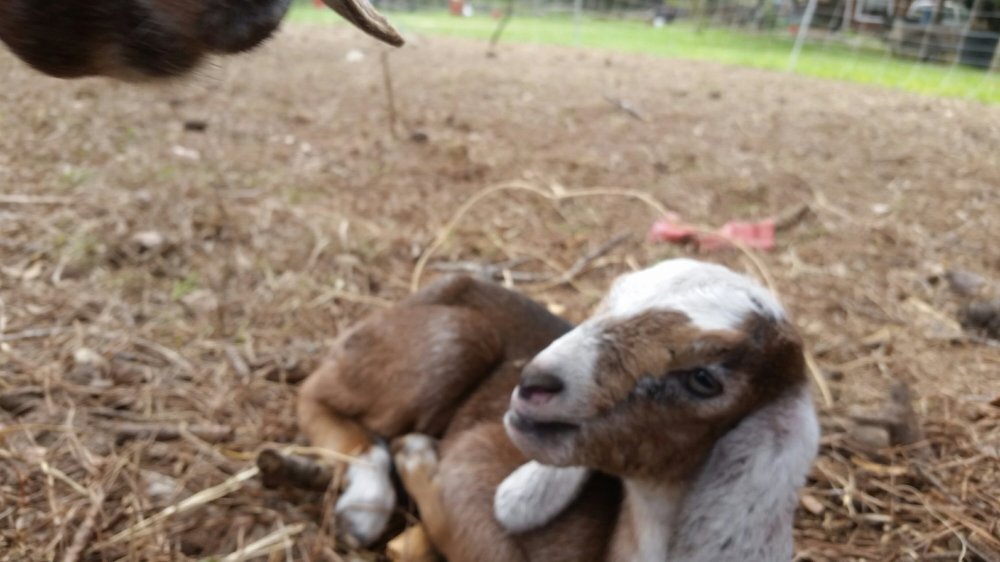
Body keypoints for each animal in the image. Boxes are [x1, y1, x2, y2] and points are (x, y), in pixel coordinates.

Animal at [297, 259, 820, 560]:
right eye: (609, 303)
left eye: (704, 379)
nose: (534, 382)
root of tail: (448, 284)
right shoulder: (472, 473)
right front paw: (416, 456)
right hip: (451, 339)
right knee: (316, 394)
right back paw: (364, 506)